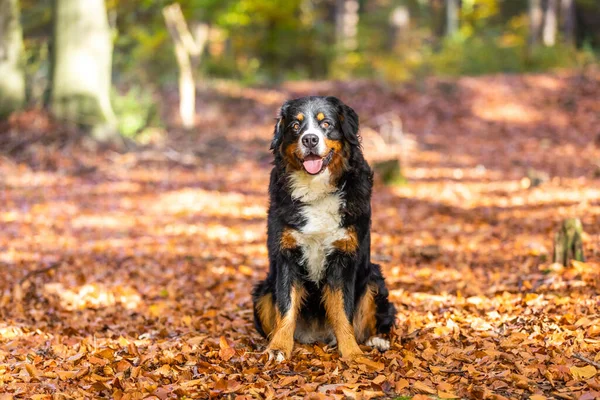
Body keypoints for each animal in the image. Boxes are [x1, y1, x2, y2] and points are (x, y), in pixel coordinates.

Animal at [253, 95, 398, 360]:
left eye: (326, 124)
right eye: (295, 126)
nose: (310, 139)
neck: (316, 189)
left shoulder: (344, 258)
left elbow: (343, 311)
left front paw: (351, 352)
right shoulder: (286, 256)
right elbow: (286, 307)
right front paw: (279, 347)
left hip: (374, 278)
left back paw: (376, 340)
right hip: (262, 291)